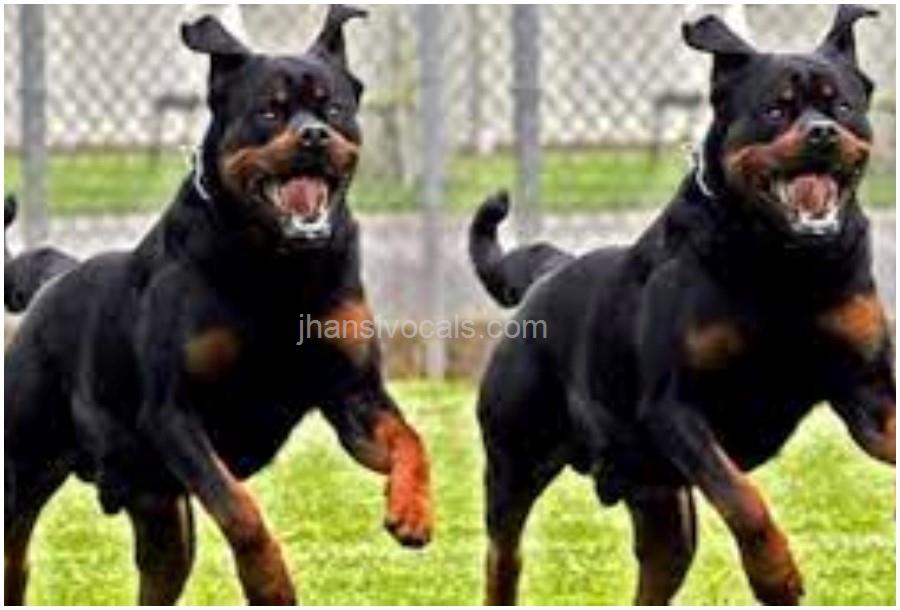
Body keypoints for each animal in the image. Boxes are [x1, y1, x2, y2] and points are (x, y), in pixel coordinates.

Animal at [5, 7, 432, 605]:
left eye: (334, 109)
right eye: (269, 111)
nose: (314, 135)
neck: (275, 265)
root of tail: (56, 277)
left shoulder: (353, 395)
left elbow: (409, 440)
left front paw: (412, 510)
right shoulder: (175, 415)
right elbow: (238, 508)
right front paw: (270, 582)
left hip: (160, 511)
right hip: (24, 466)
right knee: (15, 554)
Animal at [469, 6, 893, 605]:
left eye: (842, 107)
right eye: (775, 109)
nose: (822, 133)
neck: (781, 261)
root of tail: (549, 270)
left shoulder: (870, 394)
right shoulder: (675, 408)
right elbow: (741, 497)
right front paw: (776, 574)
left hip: (660, 502)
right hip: (515, 458)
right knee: (503, 557)